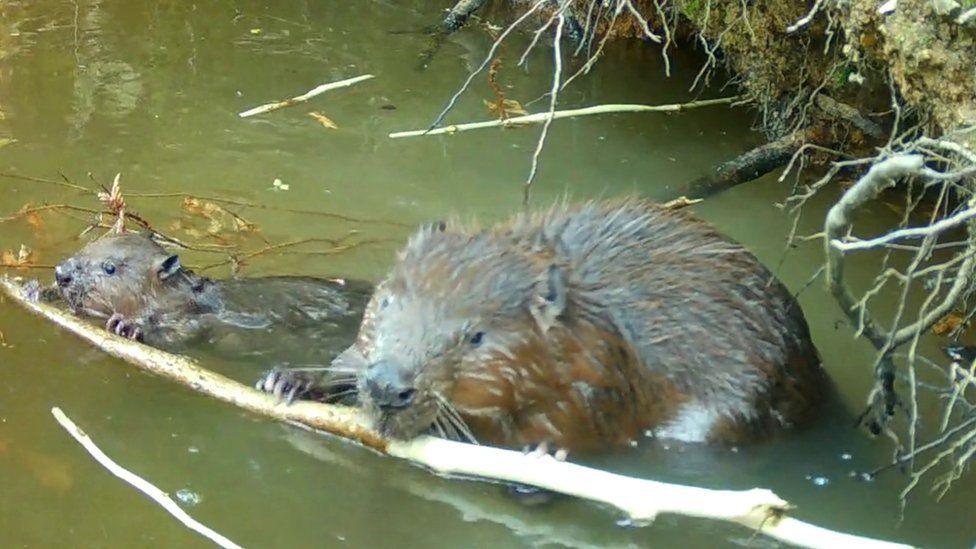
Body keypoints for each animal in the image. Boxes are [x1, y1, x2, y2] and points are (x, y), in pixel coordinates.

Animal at [55, 231, 372, 368]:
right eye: (87, 246)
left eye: (109, 267)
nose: (61, 273)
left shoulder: (195, 316)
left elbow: (182, 336)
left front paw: (128, 325)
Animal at [264, 199, 828, 452]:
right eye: (385, 302)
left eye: (476, 336)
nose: (388, 388)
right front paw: (286, 379)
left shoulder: (598, 376)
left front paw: (539, 454)